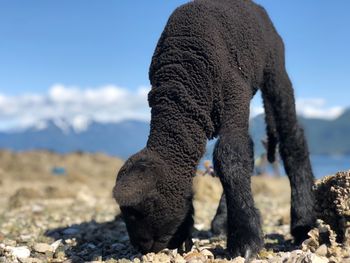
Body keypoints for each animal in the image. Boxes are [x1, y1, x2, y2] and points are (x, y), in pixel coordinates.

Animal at [113, 0, 316, 260]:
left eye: (143, 210)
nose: (140, 247)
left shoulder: (234, 93)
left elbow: (230, 156)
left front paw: (245, 242)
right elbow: (236, 159)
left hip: (275, 68)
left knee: (292, 137)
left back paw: (302, 221)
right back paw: (221, 222)